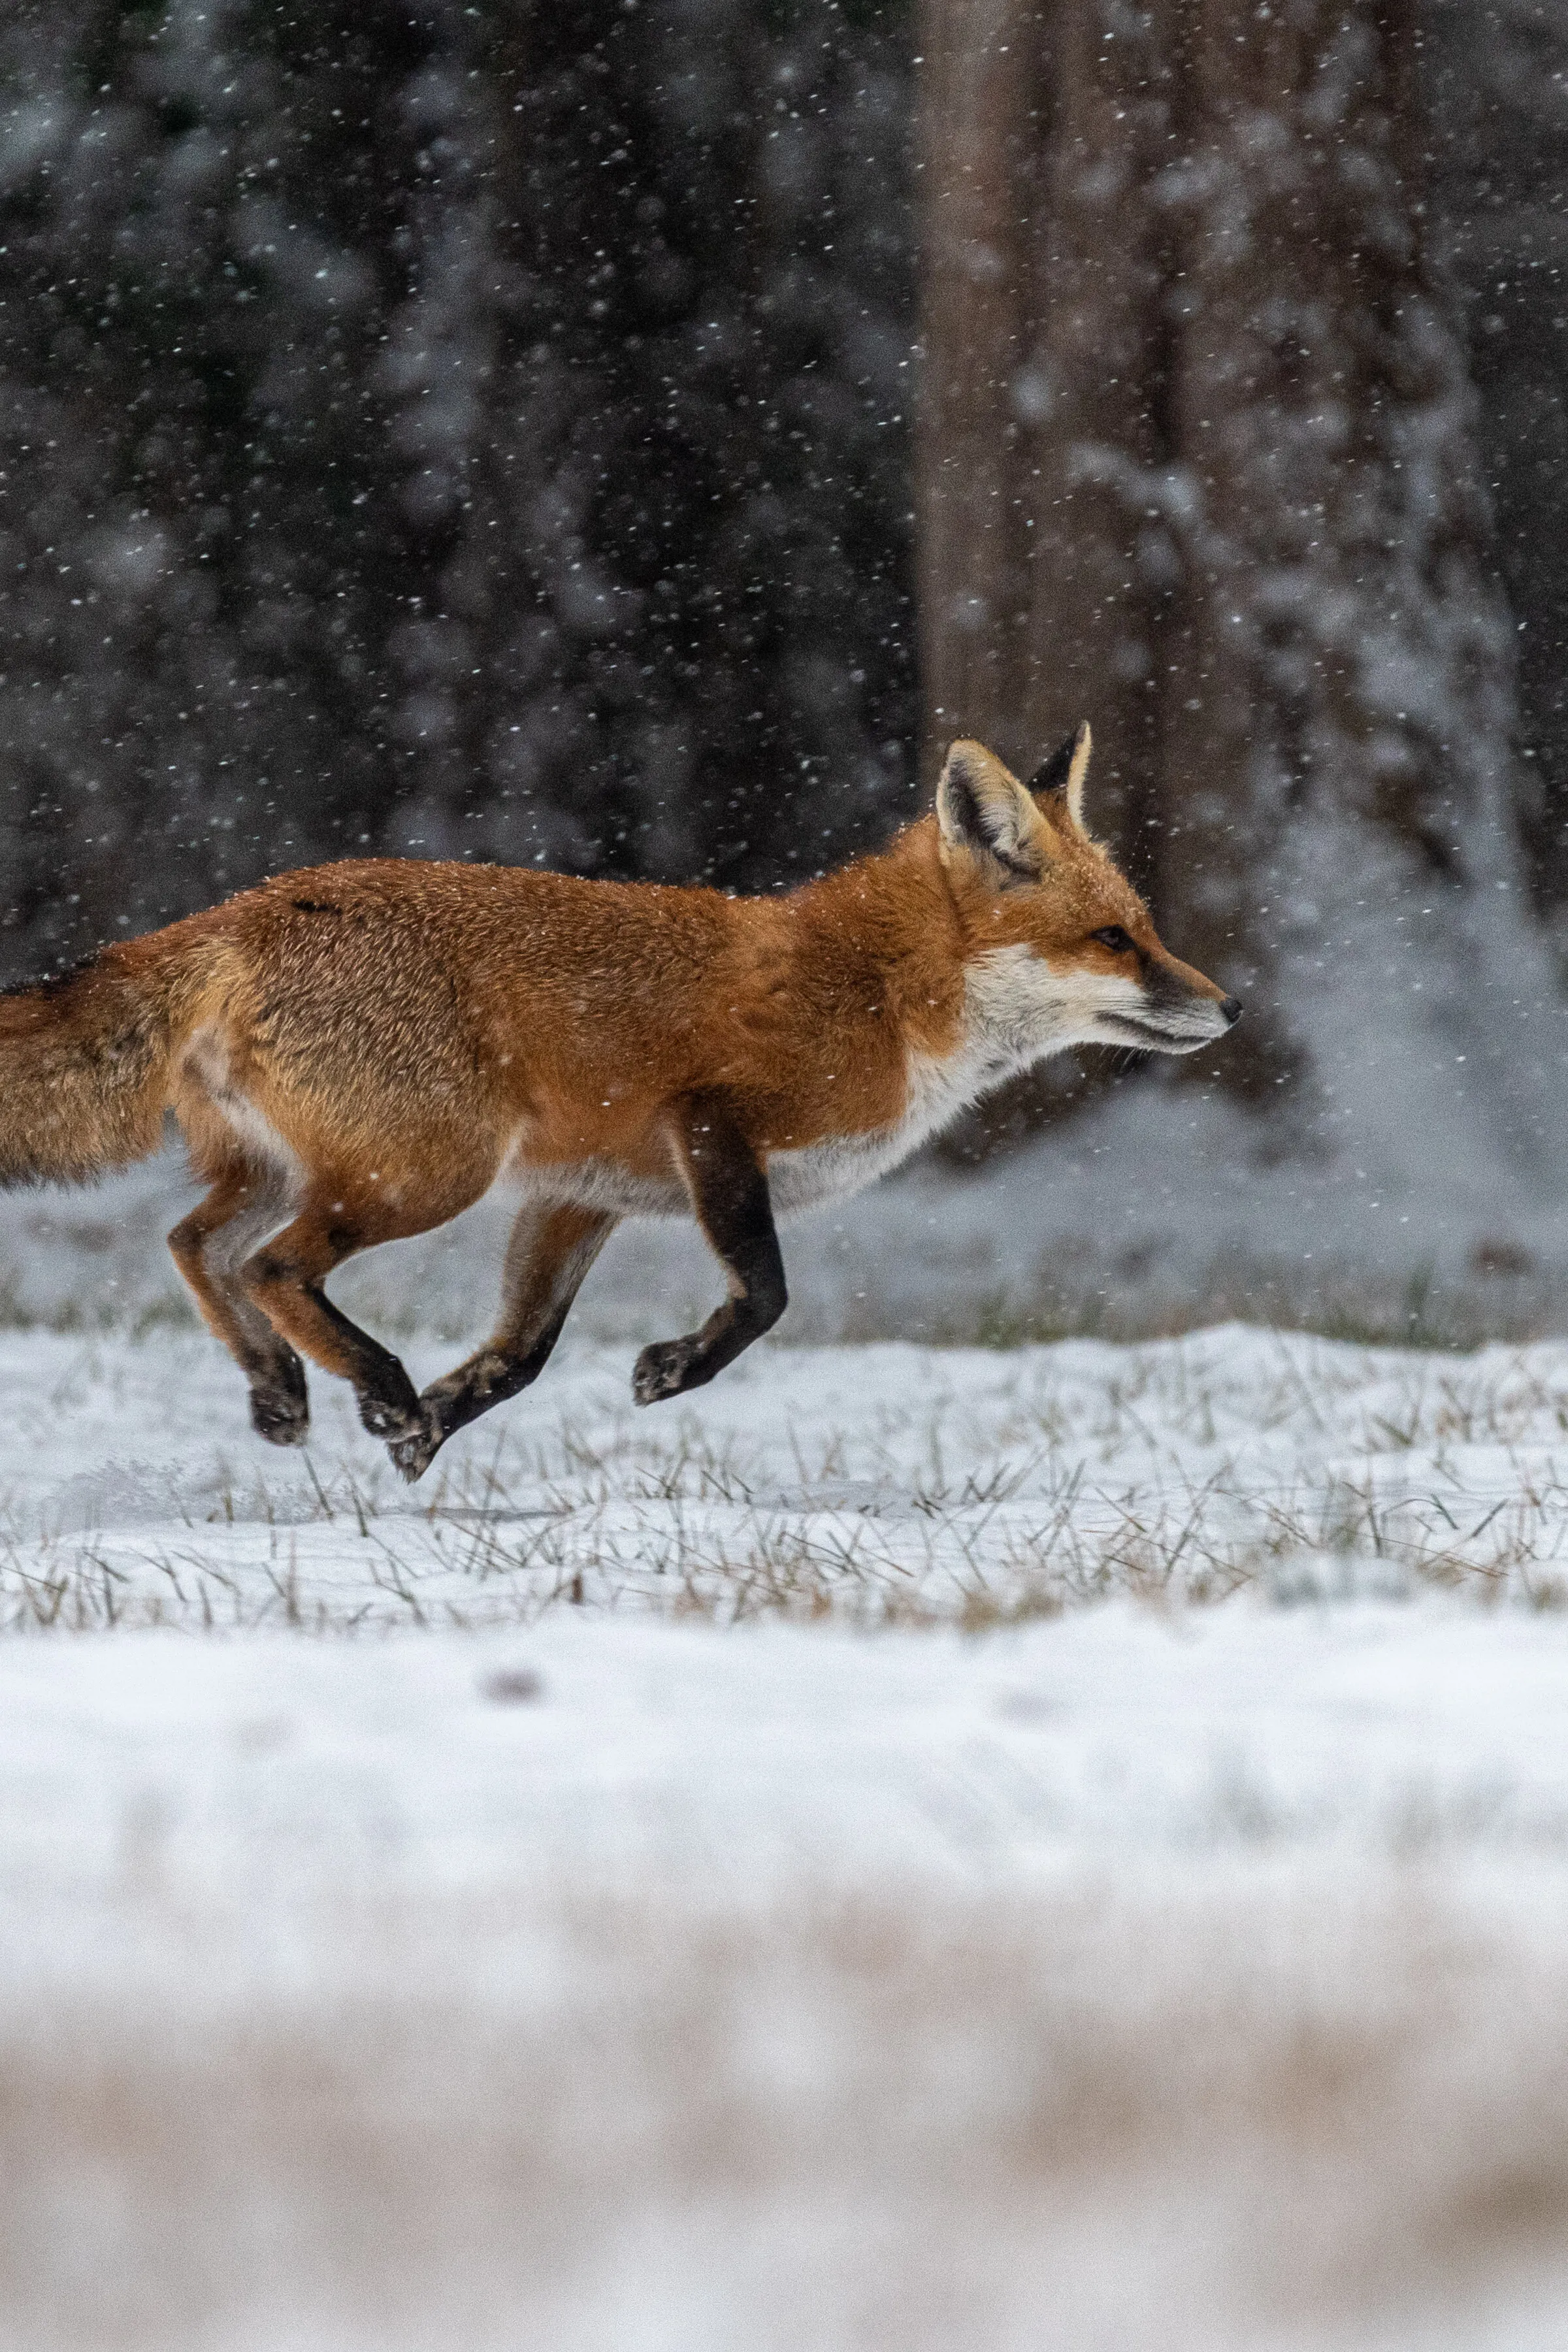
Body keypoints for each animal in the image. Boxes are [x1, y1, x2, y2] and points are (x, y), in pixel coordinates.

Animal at [0, 726, 1237, 1480]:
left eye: (1145, 929)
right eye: (1113, 940)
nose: (1228, 1009)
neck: (884, 995)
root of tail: (243, 908)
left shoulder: (578, 1197)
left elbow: (522, 1353)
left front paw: (433, 1432)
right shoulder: (712, 1124)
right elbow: (766, 1293)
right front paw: (671, 1372)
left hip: (291, 1170)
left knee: (191, 1242)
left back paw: (279, 1389)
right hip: (425, 1174)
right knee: (270, 1267)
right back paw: (373, 1381)